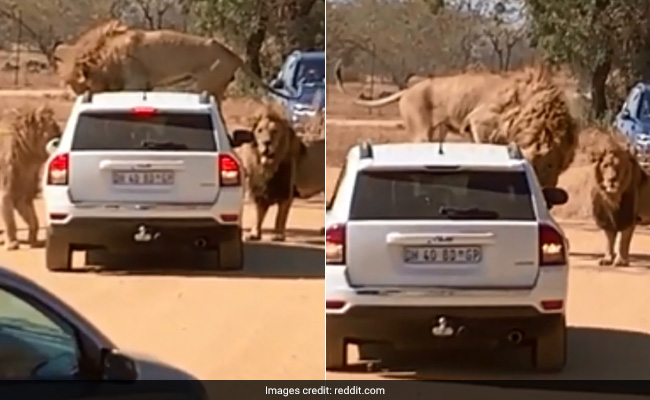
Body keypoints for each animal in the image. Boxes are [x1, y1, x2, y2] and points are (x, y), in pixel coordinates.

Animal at [0, 105, 61, 251]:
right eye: (56, 131)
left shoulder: (22, 195)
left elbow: (34, 220)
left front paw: (34, 241)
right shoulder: (5, 193)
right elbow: (10, 221)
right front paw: (12, 244)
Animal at [54, 20, 295, 102]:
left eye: (83, 88)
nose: (82, 99)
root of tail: (231, 53)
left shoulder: (135, 83)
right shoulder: (147, 86)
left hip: (205, 84)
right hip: (217, 88)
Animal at [235, 104, 325, 241]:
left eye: (275, 131)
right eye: (260, 131)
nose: (266, 142)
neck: (267, 166)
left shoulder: (285, 191)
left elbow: (280, 216)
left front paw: (278, 235)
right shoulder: (261, 189)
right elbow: (259, 214)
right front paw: (254, 234)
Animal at [588, 128, 650, 266]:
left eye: (618, 166)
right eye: (605, 166)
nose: (612, 179)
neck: (613, 196)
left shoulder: (628, 217)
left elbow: (623, 241)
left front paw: (621, 261)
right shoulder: (607, 217)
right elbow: (609, 239)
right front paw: (607, 259)